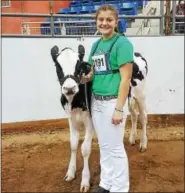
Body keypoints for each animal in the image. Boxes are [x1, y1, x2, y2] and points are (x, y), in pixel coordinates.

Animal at [50, 44, 94, 192]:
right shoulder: (71, 119)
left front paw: (85, 180)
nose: (69, 88)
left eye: (79, 65)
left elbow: (85, 149)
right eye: (57, 66)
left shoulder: (90, 121)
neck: (74, 102)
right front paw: (70, 172)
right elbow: (73, 145)